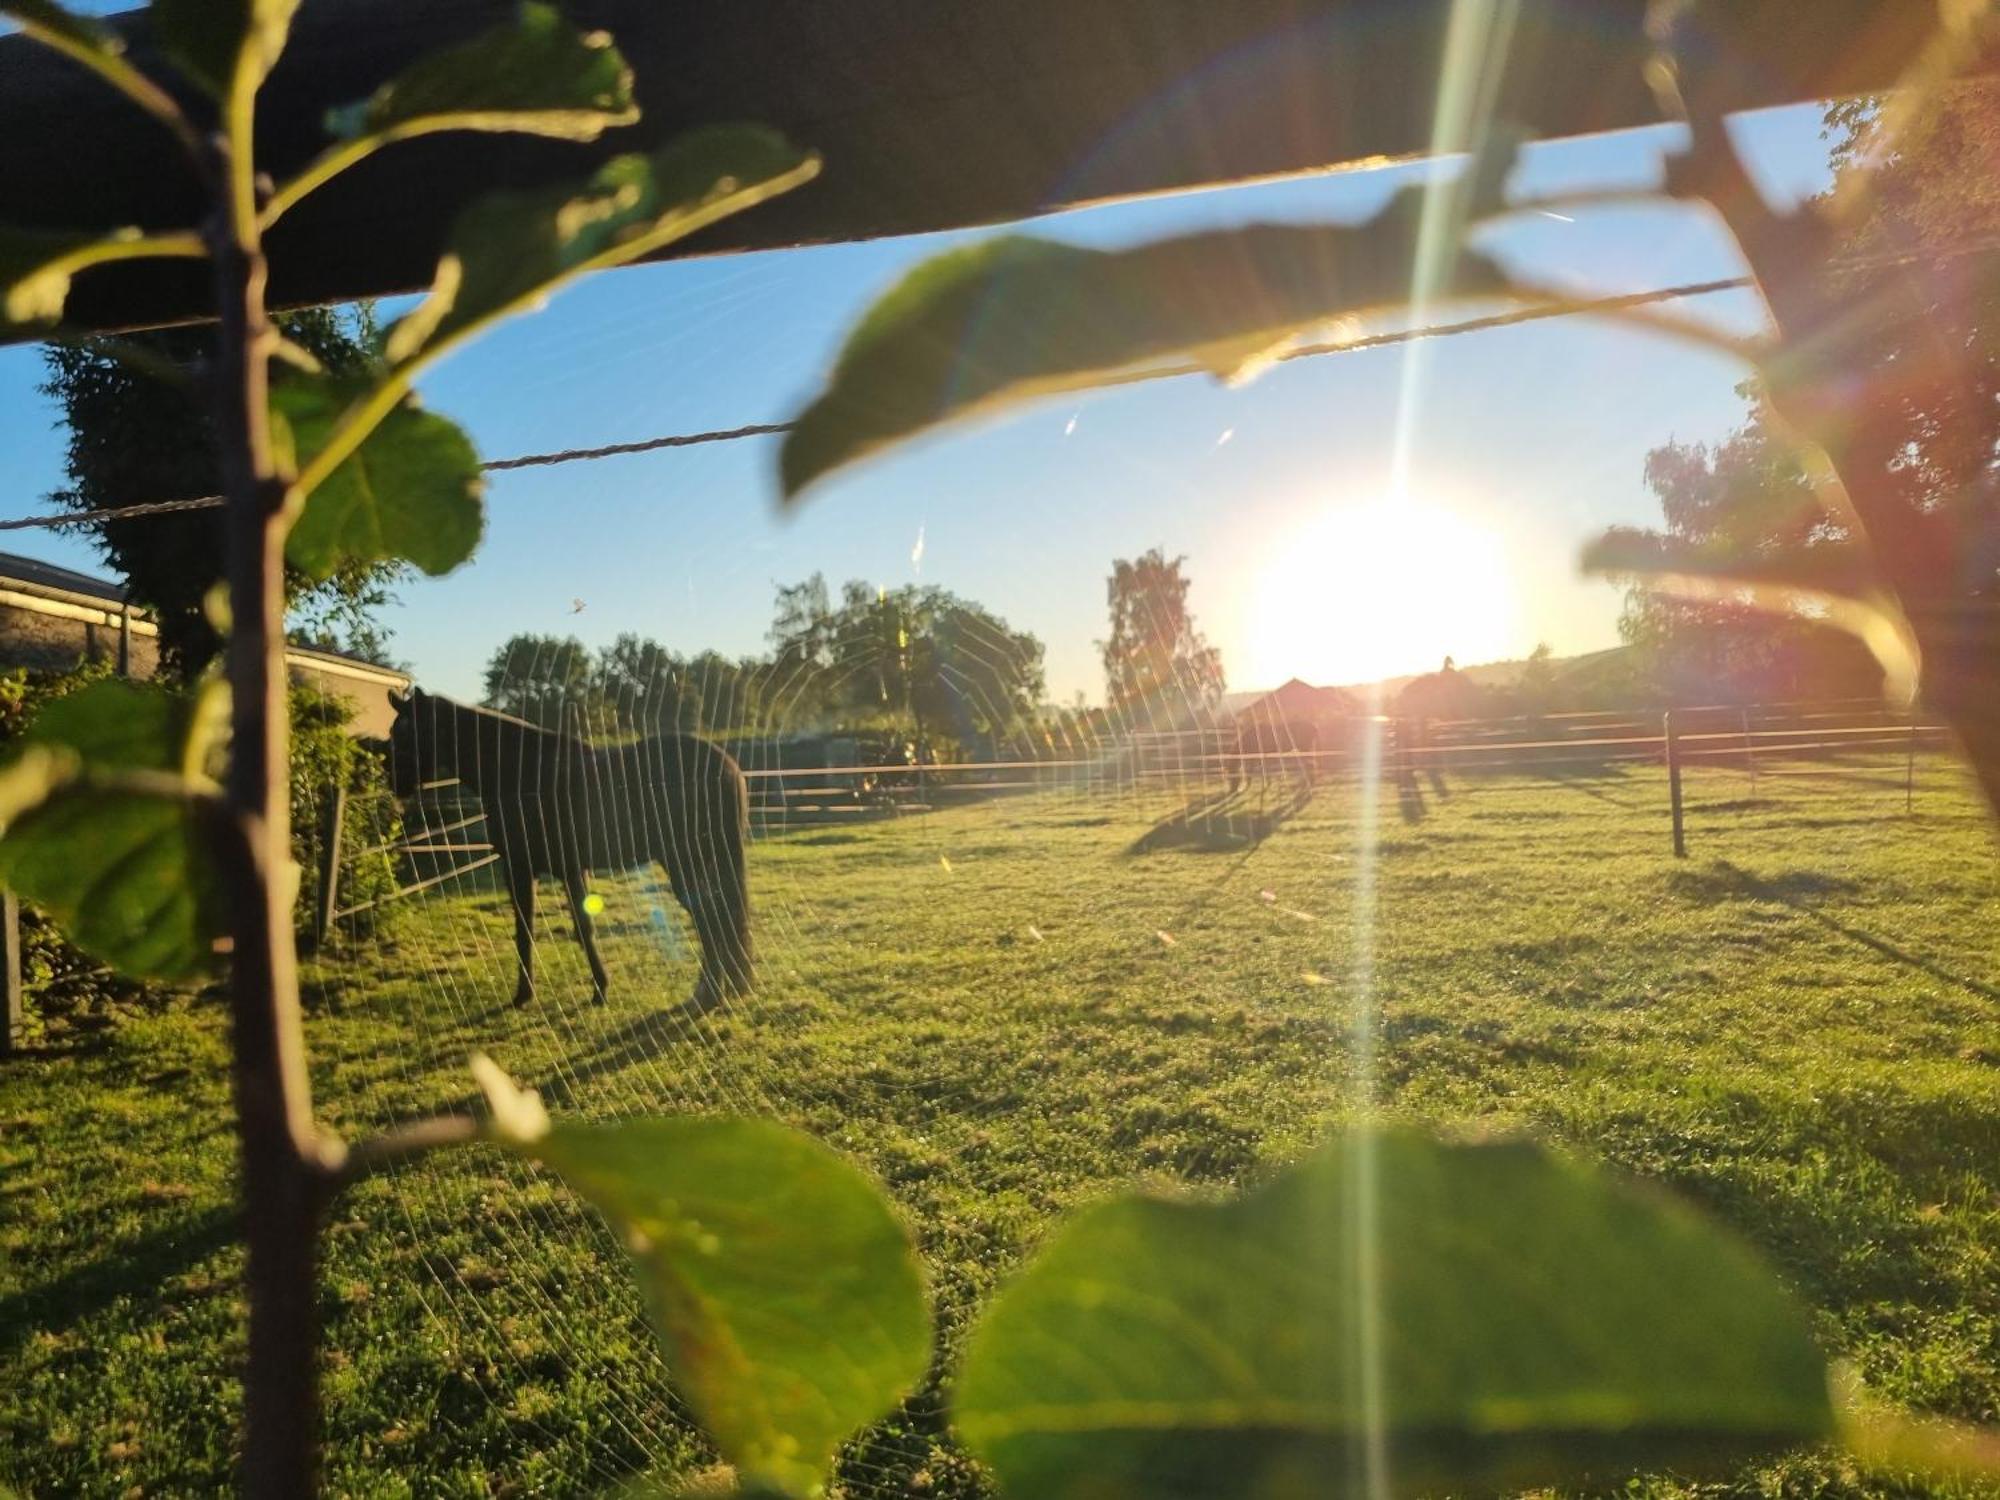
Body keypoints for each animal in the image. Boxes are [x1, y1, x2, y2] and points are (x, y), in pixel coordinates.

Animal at [382, 688, 752, 1016]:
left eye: (410, 732)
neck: (520, 775)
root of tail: (727, 766)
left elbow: (570, 929)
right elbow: (533, 930)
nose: (393, 783)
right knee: (719, 914)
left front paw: (592, 990)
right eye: (394, 730)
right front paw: (533, 993)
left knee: (711, 916)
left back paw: (711, 991)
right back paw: (726, 985)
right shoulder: (543, 869)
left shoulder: (535, 867)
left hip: (685, 858)